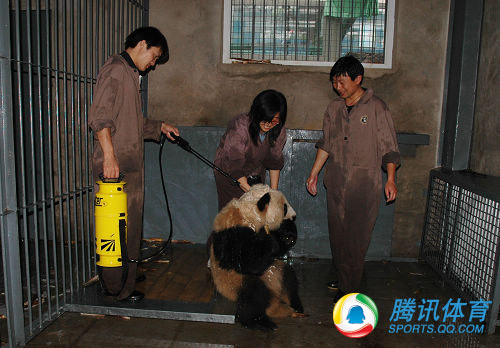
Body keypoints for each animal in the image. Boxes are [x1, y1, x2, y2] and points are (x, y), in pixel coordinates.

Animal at [206, 184, 302, 330]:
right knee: (253, 294)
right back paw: (260, 321)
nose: (294, 216)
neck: (250, 212)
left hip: (279, 269)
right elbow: (249, 262)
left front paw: (288, 233)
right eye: (285, 207)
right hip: (233, 284)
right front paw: (271, 241)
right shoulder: (233, 233)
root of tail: (276, 296)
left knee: (290, 279)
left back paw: (296, 305)